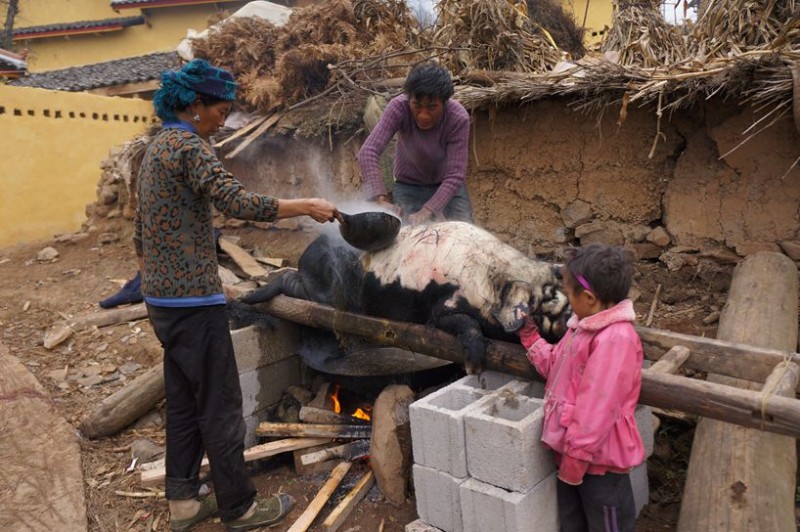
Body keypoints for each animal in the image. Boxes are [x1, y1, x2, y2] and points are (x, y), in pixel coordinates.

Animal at [238, 220, 568, 374]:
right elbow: (463, 324)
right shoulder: (442, 307)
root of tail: (305, 253)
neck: (494, 282)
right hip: (324, 289)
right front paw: (473, 366)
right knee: (293, 286)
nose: (571, 319)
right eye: (549, 304)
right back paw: (250, 298)